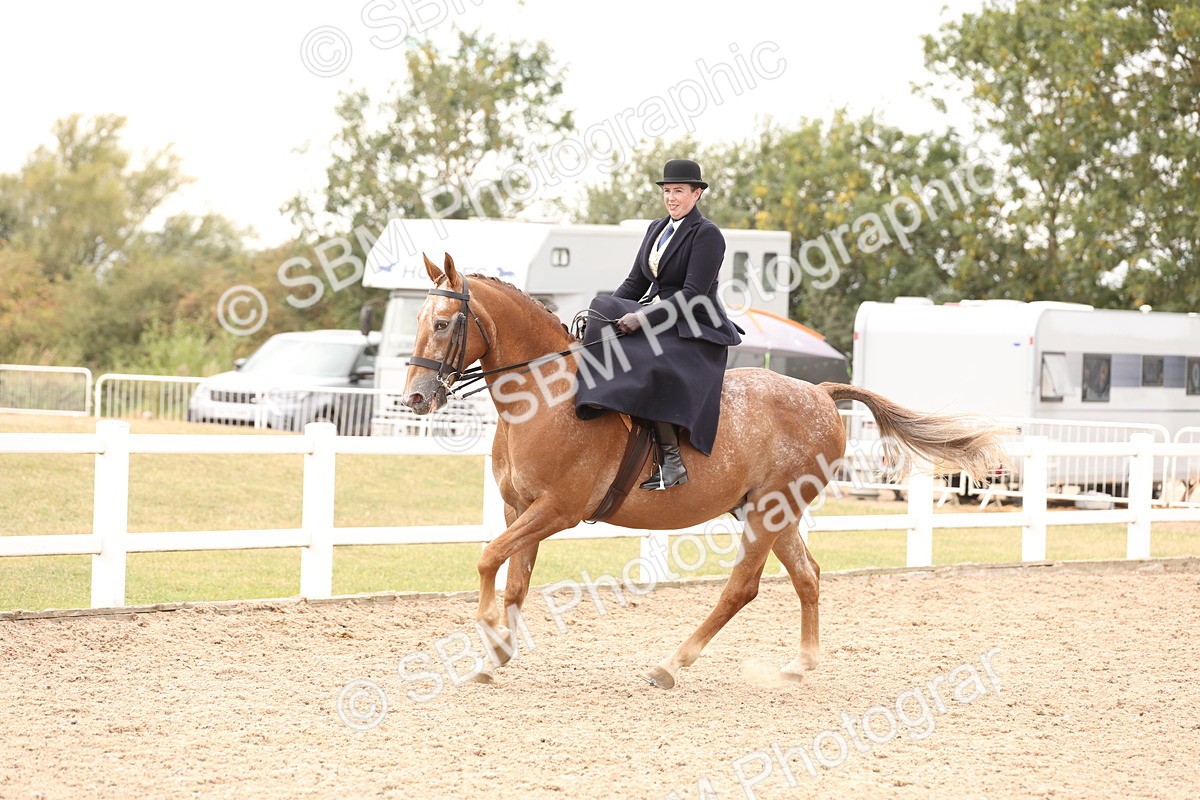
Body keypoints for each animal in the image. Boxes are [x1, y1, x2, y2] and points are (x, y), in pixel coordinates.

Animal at [403, 253, 1007, 689]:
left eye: (443, 323)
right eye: (419, 322)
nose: (415, 398)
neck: (542, 397)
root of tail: (819, 391)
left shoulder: (558, 510)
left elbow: (488, 559)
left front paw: (491, 635)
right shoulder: (519, 509)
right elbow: (515, 581)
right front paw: (495, 654)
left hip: (767, 513)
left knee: (742, 587)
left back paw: (670, 665)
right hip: (777, 511)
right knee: (807, 576)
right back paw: (799, 665)